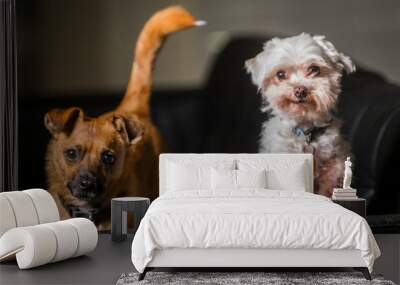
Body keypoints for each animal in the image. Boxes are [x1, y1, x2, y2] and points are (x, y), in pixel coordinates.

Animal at [245, 33, 354, 195]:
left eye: (314, 69)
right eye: (280, 74)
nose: (300, 90)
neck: (305, 130)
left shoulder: (334, 165)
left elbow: (326, 188)